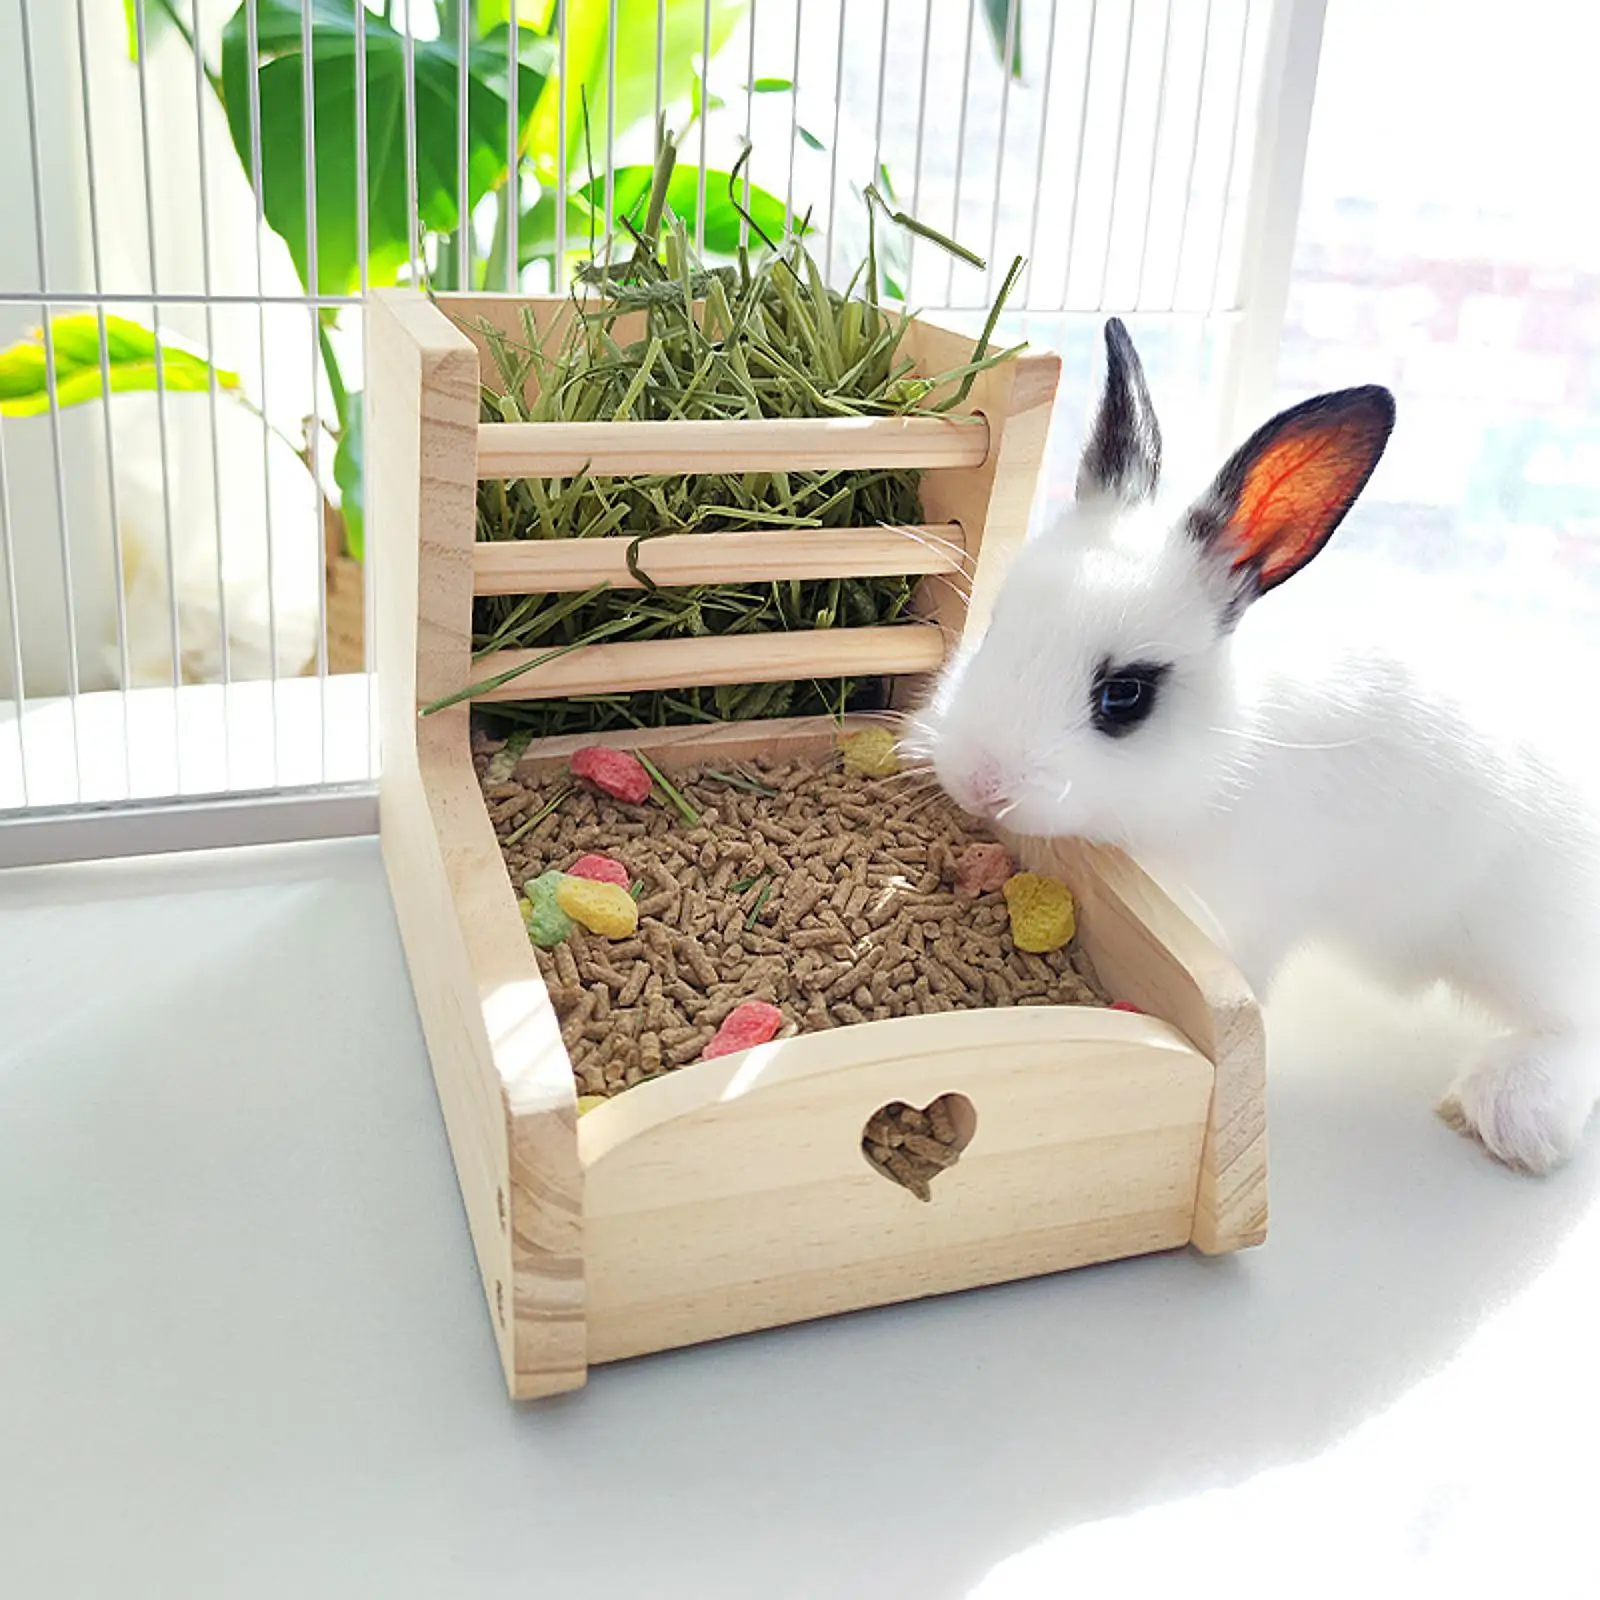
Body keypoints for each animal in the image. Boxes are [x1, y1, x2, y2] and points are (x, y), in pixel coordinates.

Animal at [904, 316, 1600, 1175]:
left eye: (1125, 695)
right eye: (999, 624)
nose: (981, 781)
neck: (1222, 757)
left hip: (1524, 934)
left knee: (1576, 1023)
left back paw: (1512, 1111)